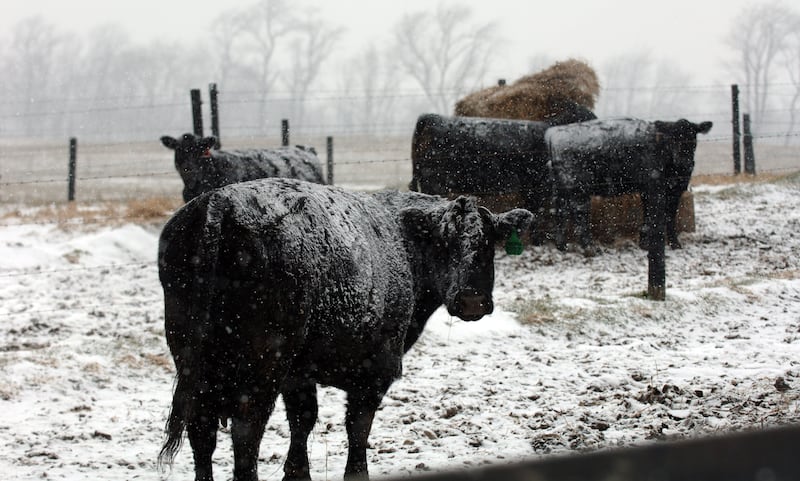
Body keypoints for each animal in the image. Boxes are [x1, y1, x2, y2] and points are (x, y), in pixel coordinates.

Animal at [156, 178, 533, 481]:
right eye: (444, 243)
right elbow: (357, 428)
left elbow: (303, 421)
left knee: (202, 430)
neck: (404, 241)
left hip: (191, 357)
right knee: (246, 433)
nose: (472, 301)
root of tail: (220, 201)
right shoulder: (375, 371)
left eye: (489, 244)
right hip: (263, 363)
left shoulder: (299, 374)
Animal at [545, 117, 713, 251]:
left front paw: (648, 243)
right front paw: (671, 244)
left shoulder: (665, 190)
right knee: (579, 212)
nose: (685, 161)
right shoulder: (657, 188)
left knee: (561, 211)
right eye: (672, 139)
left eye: (693, 137)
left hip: (562, 188)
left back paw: (562, 246)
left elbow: (657, 214)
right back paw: (589, 247)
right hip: (578, 186)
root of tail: (555, 133)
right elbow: (660, 215)